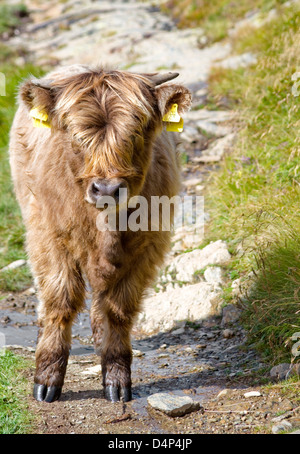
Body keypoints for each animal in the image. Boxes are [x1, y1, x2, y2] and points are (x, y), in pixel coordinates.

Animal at [9, 63, 192, 400]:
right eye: (74, 134)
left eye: (136, 130)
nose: (106, 189)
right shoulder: (48, 237)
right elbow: (60, 300)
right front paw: (47, 379)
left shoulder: (147, 245)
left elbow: (119, 309)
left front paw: (116, 378)